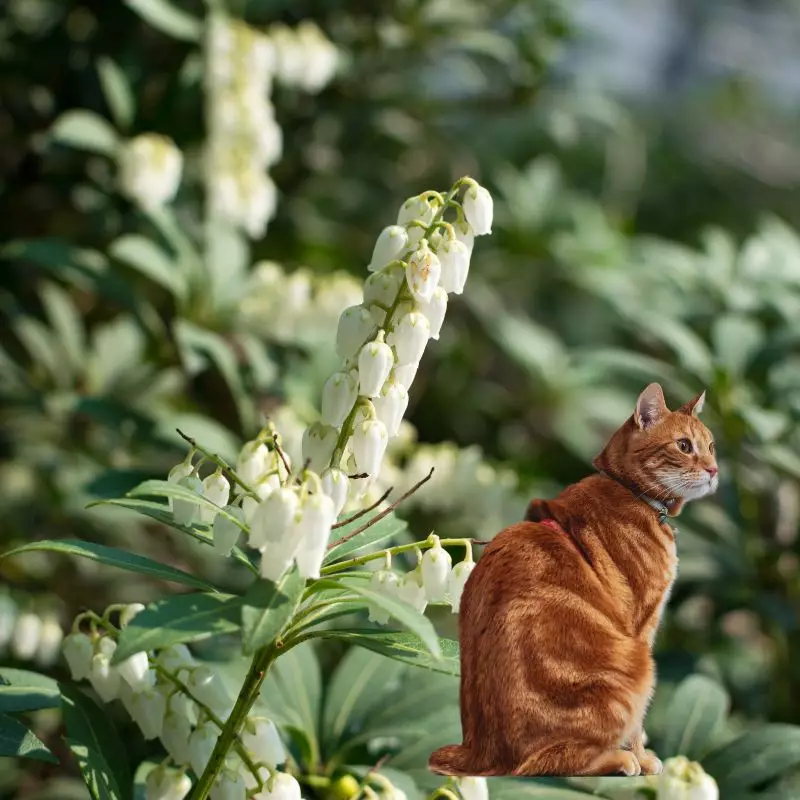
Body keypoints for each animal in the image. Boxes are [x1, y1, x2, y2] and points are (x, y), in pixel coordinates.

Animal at [432, 384, 720, 780]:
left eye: (712, 446)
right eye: (684, 445)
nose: (714, 470)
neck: (630, 492)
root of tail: (480, 754)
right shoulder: (641, 628)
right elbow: (637, 724)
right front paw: (641, 757)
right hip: (635, 666)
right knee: (541, 763)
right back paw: (618, 760)